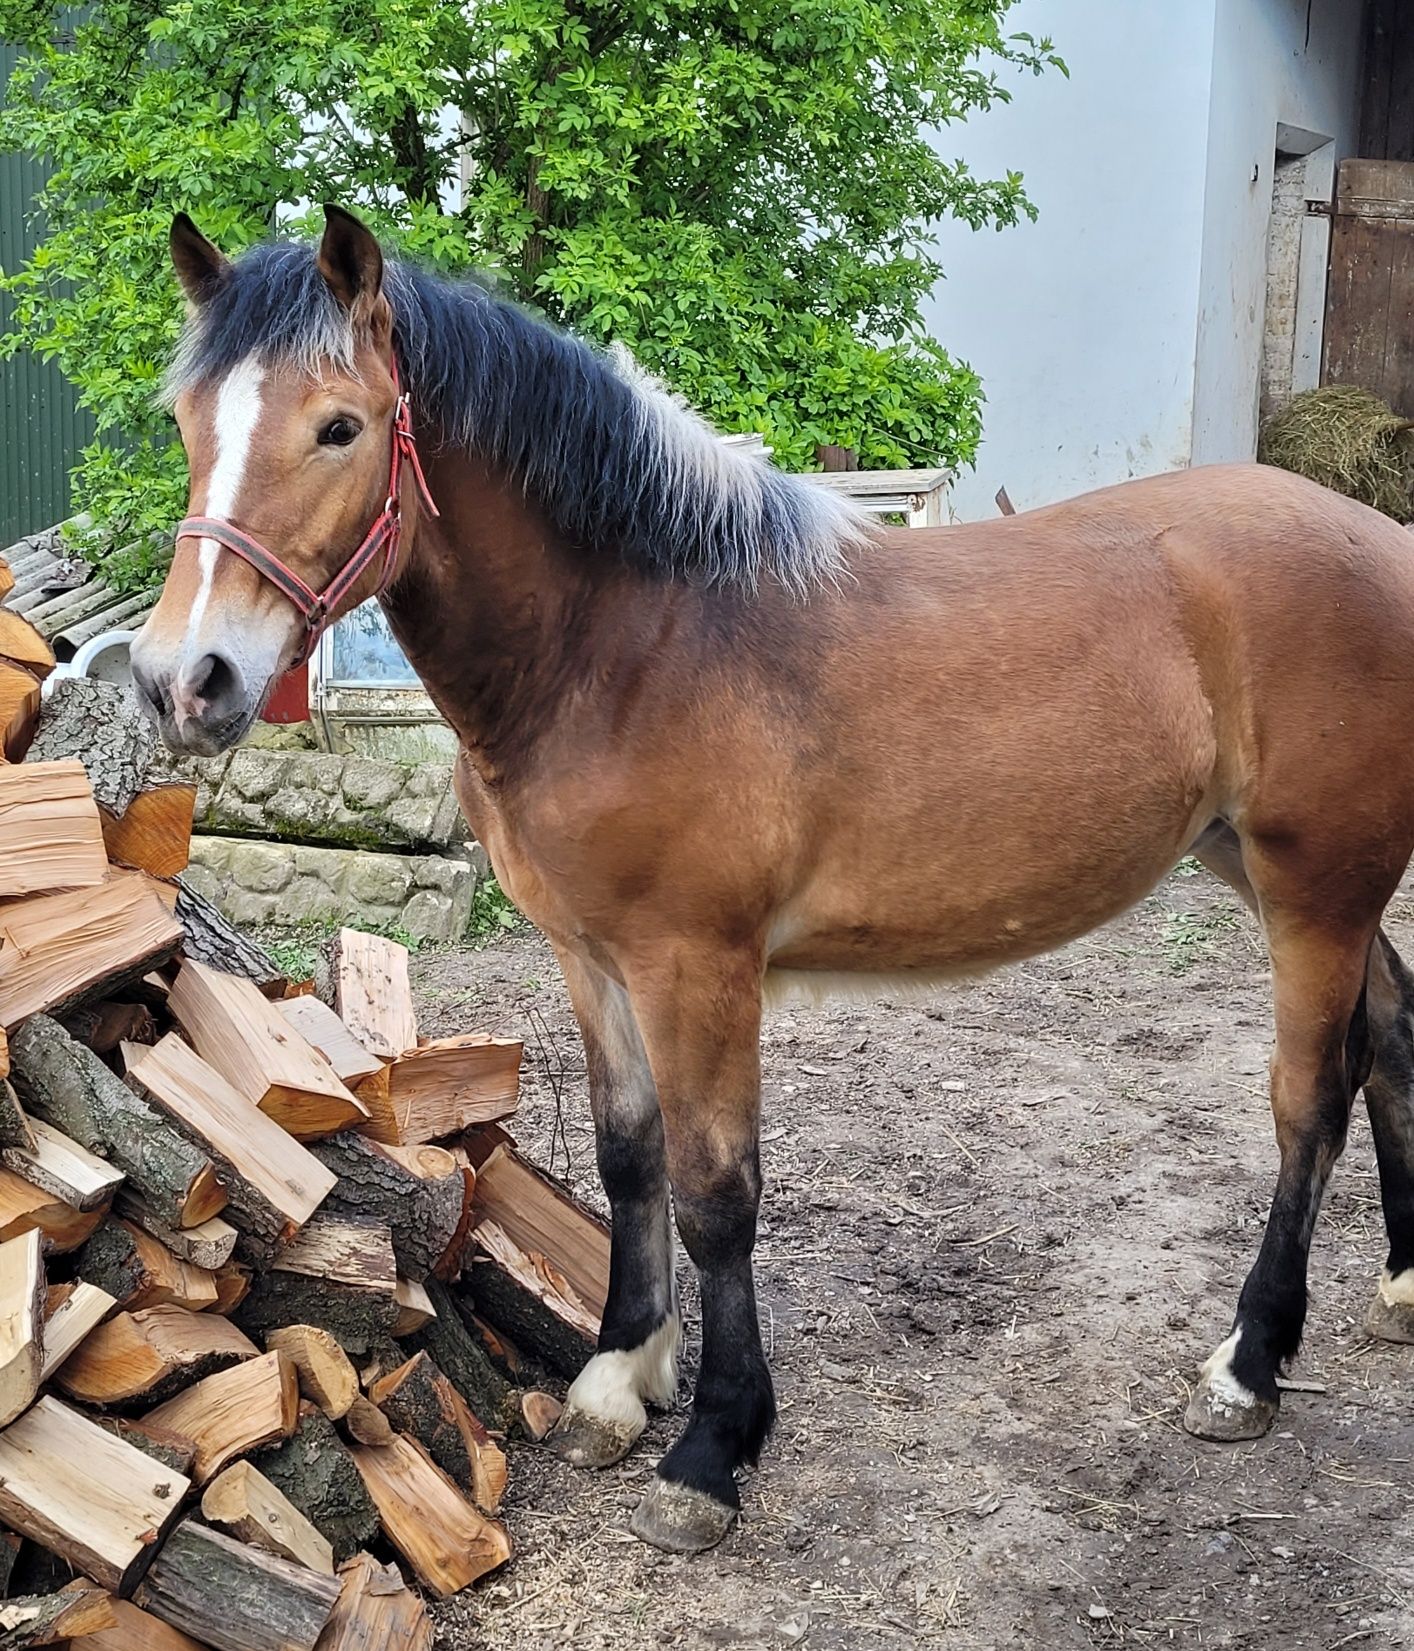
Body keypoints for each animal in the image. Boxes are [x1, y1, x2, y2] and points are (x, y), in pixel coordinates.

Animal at [135, 203, 1414, 1545]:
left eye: (339, 425)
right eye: (186, 424)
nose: (184, 680)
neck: (626, 644)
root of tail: (1379, 537)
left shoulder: (695, 967)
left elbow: (715, 1191)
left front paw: (711, 1446)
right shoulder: (591, 960)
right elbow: (628, 1158)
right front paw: (618, 1380)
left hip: (1315, 883)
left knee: (1308, 1100)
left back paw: (1247, 1364)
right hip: (1274, 869)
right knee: (1391, 1030)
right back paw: (1400, 1283)